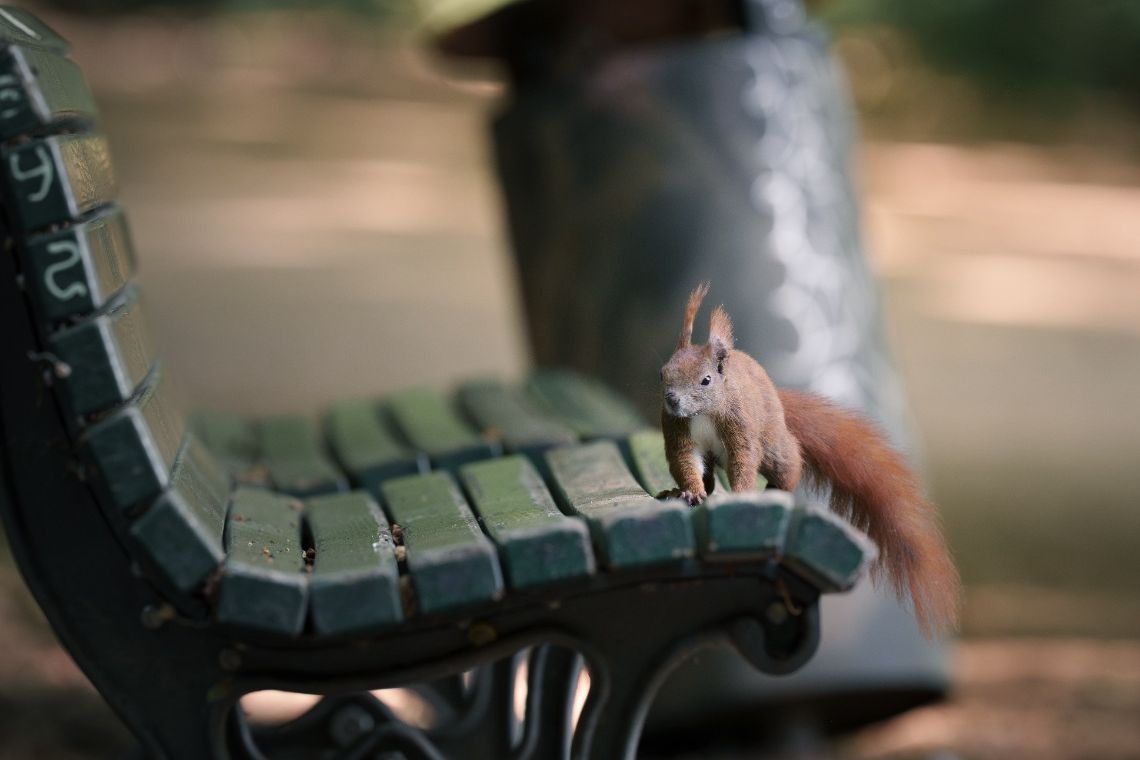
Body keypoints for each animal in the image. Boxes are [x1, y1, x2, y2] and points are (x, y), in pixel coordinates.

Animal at [658, 283, 960, 636]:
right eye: (662, 374)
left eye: (705, 380)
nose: (672, 400)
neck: (703, 413)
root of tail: (776, 399)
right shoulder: (678, 430)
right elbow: (684, 461)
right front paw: (689, 492)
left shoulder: (740, 427)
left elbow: (743, 460)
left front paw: (741, 495)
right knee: (708, 471)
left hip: (774, 445)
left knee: (789, 463)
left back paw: (776, 490)